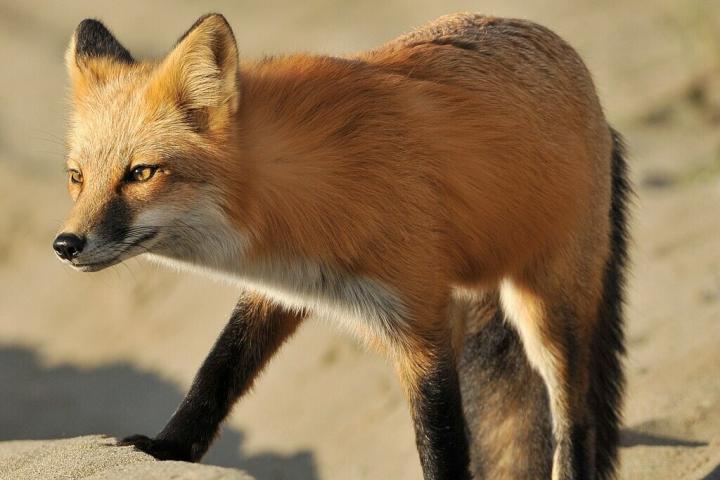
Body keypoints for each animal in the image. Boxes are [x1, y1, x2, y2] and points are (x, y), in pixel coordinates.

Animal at [54, 12, 630, 480]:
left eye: (141, 173)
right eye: (77, 177)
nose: (65, 244)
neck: (304, 187)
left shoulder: (420, 319)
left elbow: (440, 442)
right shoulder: (278, 289)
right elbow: (217, 372)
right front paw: (167, 449)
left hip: (548, 310)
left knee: (574, 420)